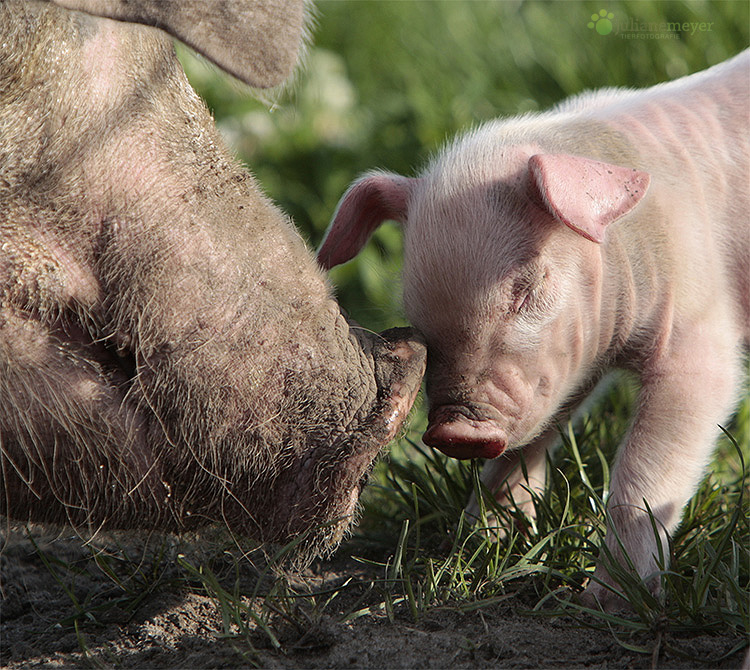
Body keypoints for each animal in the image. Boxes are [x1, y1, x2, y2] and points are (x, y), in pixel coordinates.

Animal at [318, 52, 750, 608]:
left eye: (526, 288)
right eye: (416, 313)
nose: (456, 430)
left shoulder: (699, 335)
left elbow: (644, 472)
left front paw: (605, 601)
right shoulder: (569, 363)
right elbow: (534, 438)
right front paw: (482, 542)